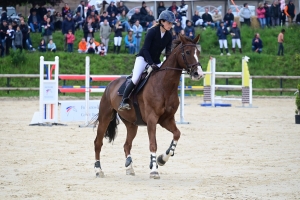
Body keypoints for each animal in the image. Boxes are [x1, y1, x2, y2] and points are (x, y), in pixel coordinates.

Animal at [92, 33, 203, 179]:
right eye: (188, 52)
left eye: (198, 53)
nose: (198, 74)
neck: (164, 86)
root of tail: (110, 85)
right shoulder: (152, 119)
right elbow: (153, 144)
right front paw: (154, 170)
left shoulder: (167, 120)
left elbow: (177, 134)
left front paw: (162, 159)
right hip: (105, 117)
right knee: (98, 143)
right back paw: (98, 170)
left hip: (131, 124)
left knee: (127, 145)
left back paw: (129, 168)